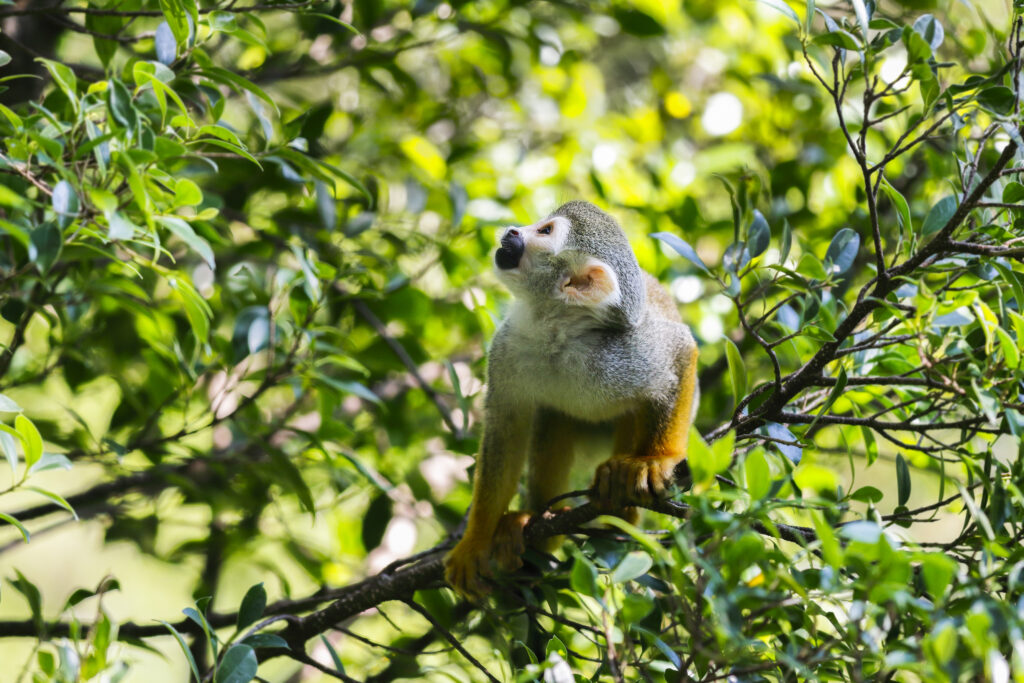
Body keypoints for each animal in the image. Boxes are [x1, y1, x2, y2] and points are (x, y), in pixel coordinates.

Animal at [443, 200, 699, 599]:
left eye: (545, 231)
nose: (513, 231)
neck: (557, 331)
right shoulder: (507, 346)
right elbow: (505, 430)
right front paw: (475, 541)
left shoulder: (621, 351)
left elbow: (680, 349)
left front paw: (657, 460)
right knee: (552, 419)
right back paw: (537, 522)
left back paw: (619, 499)